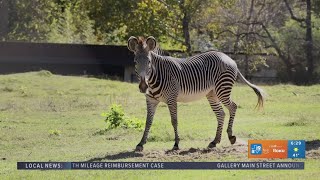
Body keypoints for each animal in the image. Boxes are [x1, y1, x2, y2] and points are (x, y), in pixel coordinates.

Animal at [127, 35, 264, 151]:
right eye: (135, 62)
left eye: (149, 62)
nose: (143, 87)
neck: (156, 76)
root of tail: (229, 58)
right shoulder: (151, 100)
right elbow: (148, 121)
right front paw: (140, 144)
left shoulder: (172, 99)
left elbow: (174, 120)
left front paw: (176, 144)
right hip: (212, 94)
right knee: (221, 113)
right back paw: (214, 141)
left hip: (222, 89)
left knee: (233, 107)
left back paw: (231, 136)